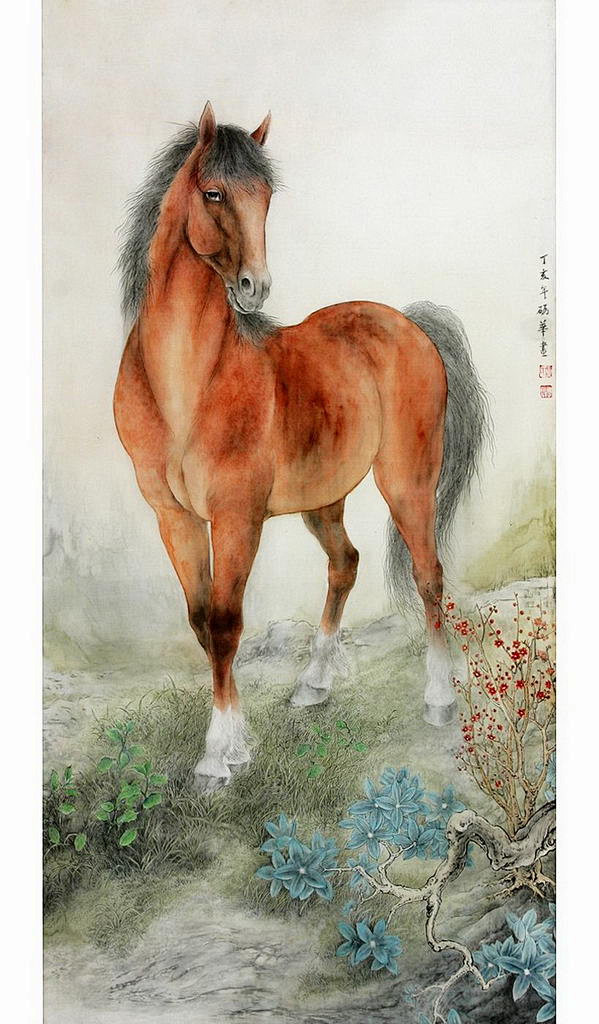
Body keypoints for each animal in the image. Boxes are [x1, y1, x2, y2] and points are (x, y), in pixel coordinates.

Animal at [114, 102, 489, 793]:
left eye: (267, 197)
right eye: (214, 193)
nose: (253, 287)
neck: (186, 383)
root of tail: (409, 322)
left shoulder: (237, 518)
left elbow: (227, 623)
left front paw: (218, 758)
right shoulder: (174, 519)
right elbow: (202, 622)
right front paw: (233, 747)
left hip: (407, 484)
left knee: (428, 576)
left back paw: (439, 699)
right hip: (324, 499)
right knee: (346, 564)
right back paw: (313, 687)